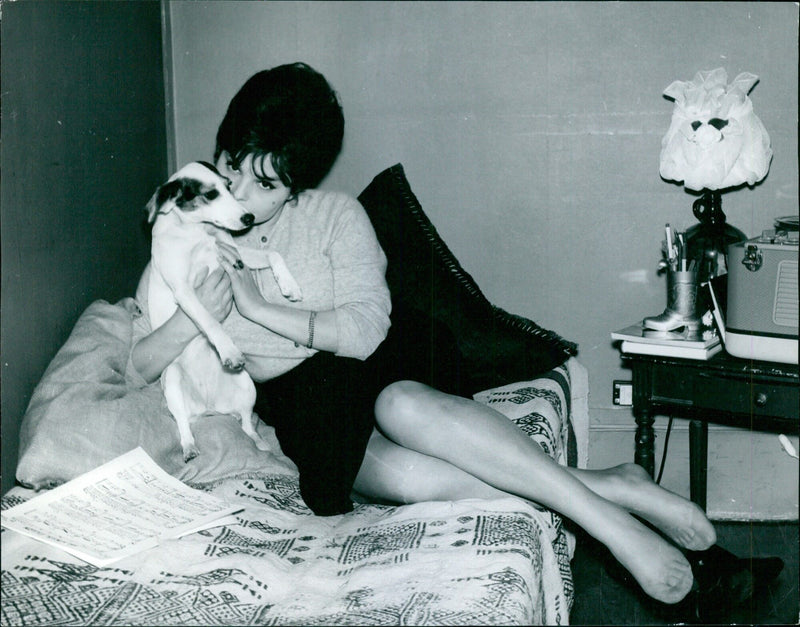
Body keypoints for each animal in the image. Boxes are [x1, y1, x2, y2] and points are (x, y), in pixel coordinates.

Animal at [145, 161, 302, 462]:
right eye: (210, 194)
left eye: (229, 186)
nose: (249, 218)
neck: (198, 232)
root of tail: (209, 407)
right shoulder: (185, 290)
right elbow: (209, 321)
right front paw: (228, 350)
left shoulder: (234, 252)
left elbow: (274, 254)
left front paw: (290, 285)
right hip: (172, 381)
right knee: (183, 424)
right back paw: (189, 447)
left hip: (246, 385)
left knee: (246, 423)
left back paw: (261, 444)